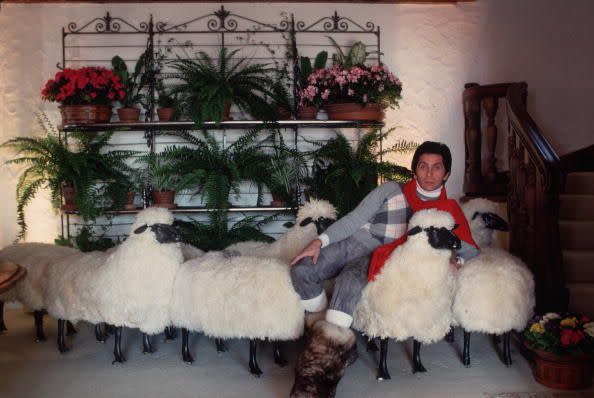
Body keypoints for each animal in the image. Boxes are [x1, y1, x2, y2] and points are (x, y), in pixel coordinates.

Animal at [352, 208, 458, 380]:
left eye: (450, 229)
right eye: (432, 229)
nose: (457, 243)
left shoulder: (420, 314)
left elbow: (417, 343)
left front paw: (418, 366)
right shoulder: (386, 317)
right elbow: (385, 347)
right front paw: (383, 373)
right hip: (368, 311)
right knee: (368, 330)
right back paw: (371, 345)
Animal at [450, 198, 536, 366]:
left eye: (495, 215)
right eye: (484, 216)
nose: (505, 226)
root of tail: (500, 287)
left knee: (471, 332)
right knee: (504, 334)